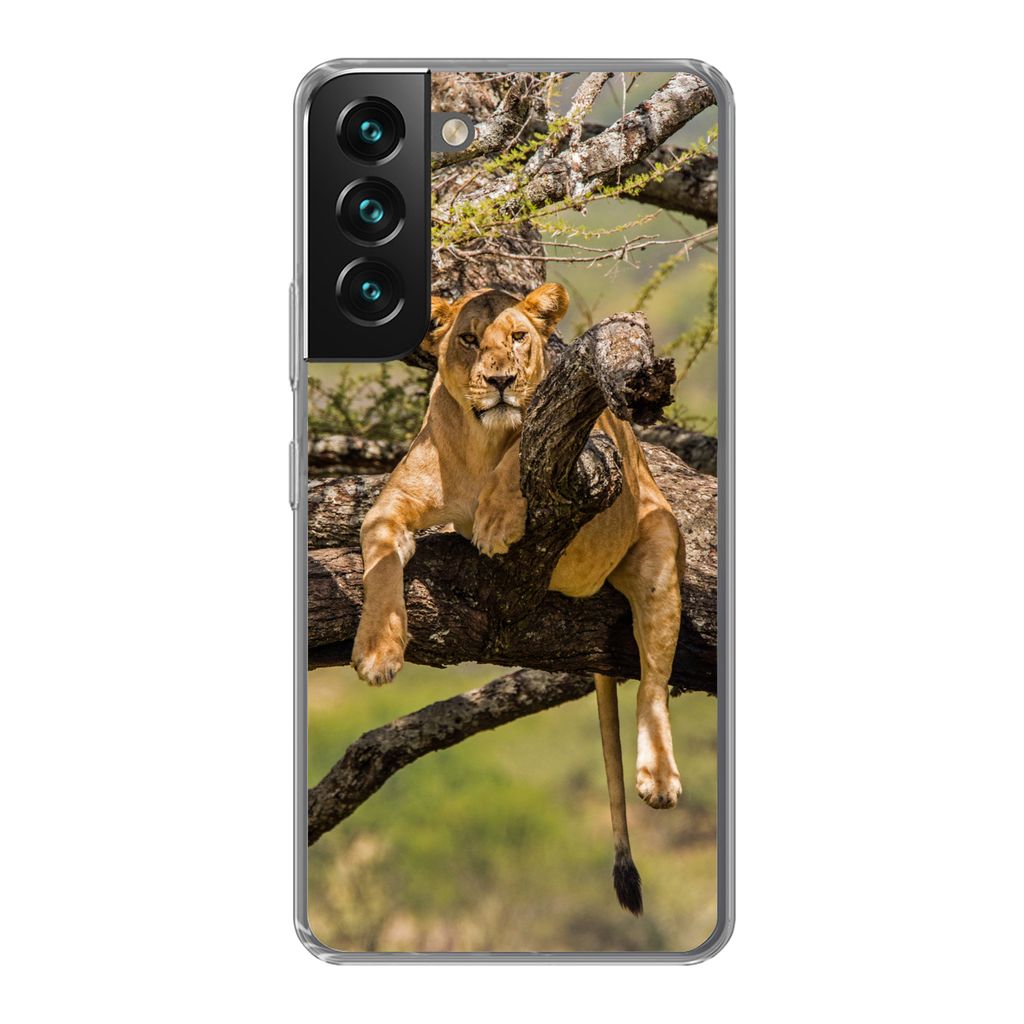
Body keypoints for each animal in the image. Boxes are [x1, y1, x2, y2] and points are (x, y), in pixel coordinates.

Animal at [352, 283, 684, 914]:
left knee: (653, 681)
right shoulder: (388, 510)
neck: (480, 443)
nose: (501, 379)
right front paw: (378, 652)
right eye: (468, 339)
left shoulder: (584, 452)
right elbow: (379, 567)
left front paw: (498, 521)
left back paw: (658, 776)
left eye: (518, 337)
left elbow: (520, 453)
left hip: (656, 544)